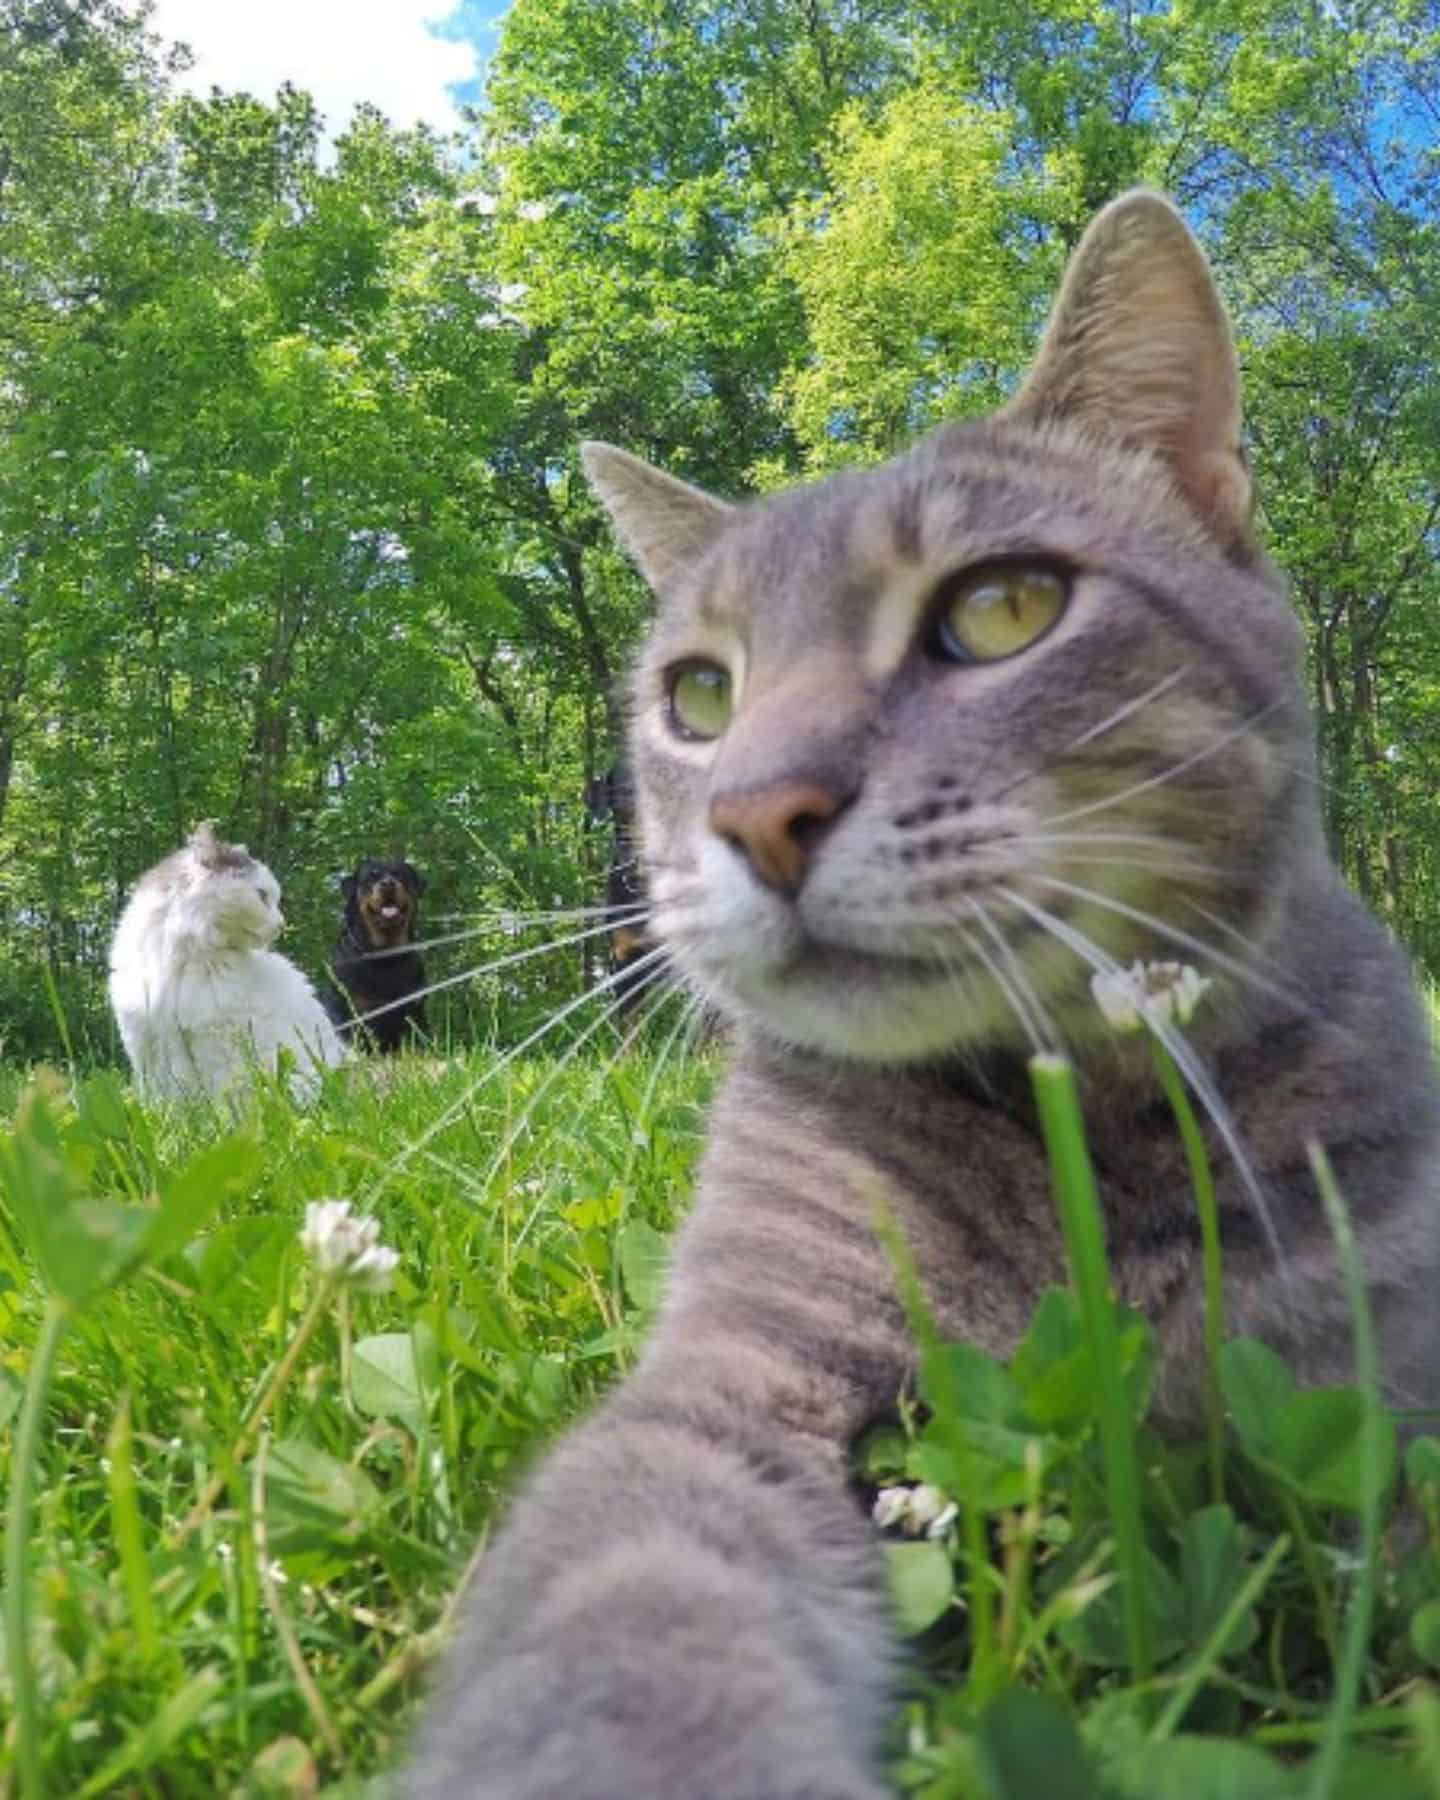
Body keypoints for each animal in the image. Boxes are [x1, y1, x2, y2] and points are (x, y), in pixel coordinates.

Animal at [108, 820, 347, 1094]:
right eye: (262, 895)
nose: (282, 924)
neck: (178, 958)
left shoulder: (214, 1043)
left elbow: (219, 1098)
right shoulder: (148, 1047)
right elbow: (165, 1100)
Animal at [329, 860, 430, 1051]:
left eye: (399, 875)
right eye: (371, 877)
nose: (387, 883)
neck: (384, 956)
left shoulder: (414, 1011)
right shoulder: (356, 1013)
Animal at [405, 189, 1440, 1792]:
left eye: (1005, 609)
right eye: (699, 696)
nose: (759, 811)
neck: (1094, 1126)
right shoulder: (734, 1371)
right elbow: (635, 1603)